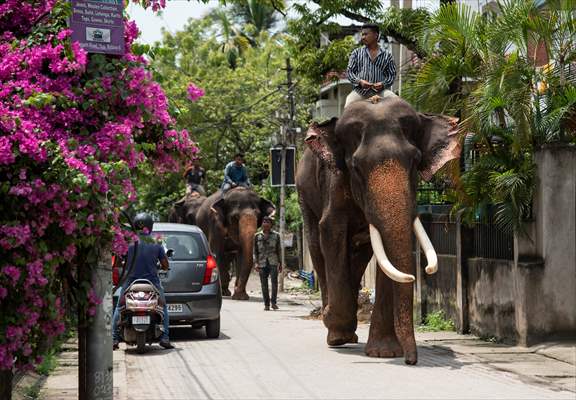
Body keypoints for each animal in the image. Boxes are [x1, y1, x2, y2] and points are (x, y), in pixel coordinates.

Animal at [296, 97, 460, 366]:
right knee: (317, 247)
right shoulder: (335, 182)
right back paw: (336, 334)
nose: (410, 360)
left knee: (359, 255)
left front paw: (384, 353)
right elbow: (331, 231)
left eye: (415, 161)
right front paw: (332, 320)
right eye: (356, 167)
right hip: (304, 196)